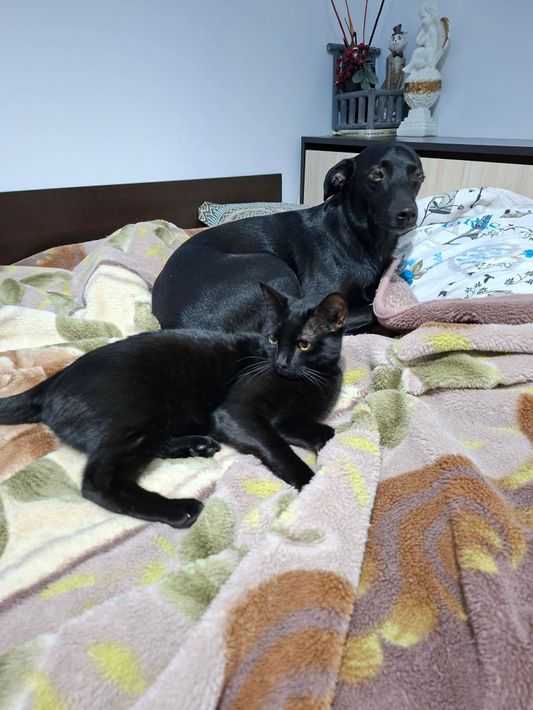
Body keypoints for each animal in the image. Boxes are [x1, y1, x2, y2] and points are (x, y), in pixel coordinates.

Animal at [0, 285, 347, 528]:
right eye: (274, 339)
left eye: (303, 344)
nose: (281, 363)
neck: (311, 379)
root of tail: (51, 382)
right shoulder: (236, 414)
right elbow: (278, 448)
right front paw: (310, 481)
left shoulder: (291, 419)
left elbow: (321, 431)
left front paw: (323, 444)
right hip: (138, 416)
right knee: (98, 482)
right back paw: (181, 508)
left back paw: (197, 446)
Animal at [152, 141, 424, 334]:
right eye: (377, 175)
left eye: (418, 177)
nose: (408, 214)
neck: (362, 236)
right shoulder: (317, 301)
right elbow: (373, 314)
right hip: (272, 267)